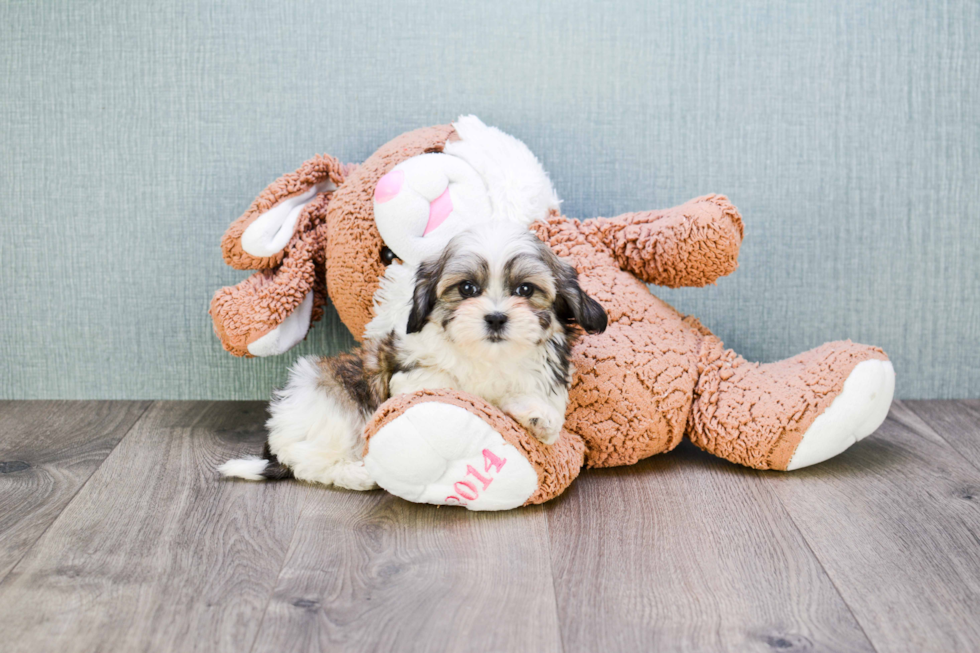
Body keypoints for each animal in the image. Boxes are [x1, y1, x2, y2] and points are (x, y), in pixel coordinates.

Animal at [221, 222, 604, 486]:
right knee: (307, 459)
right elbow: (447, 385)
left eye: (525, 289)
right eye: (467, 288)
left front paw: (537, 417)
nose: (496, 317)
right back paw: (357, 474)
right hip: (334, 407)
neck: (486, 357)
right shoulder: (406, 376)